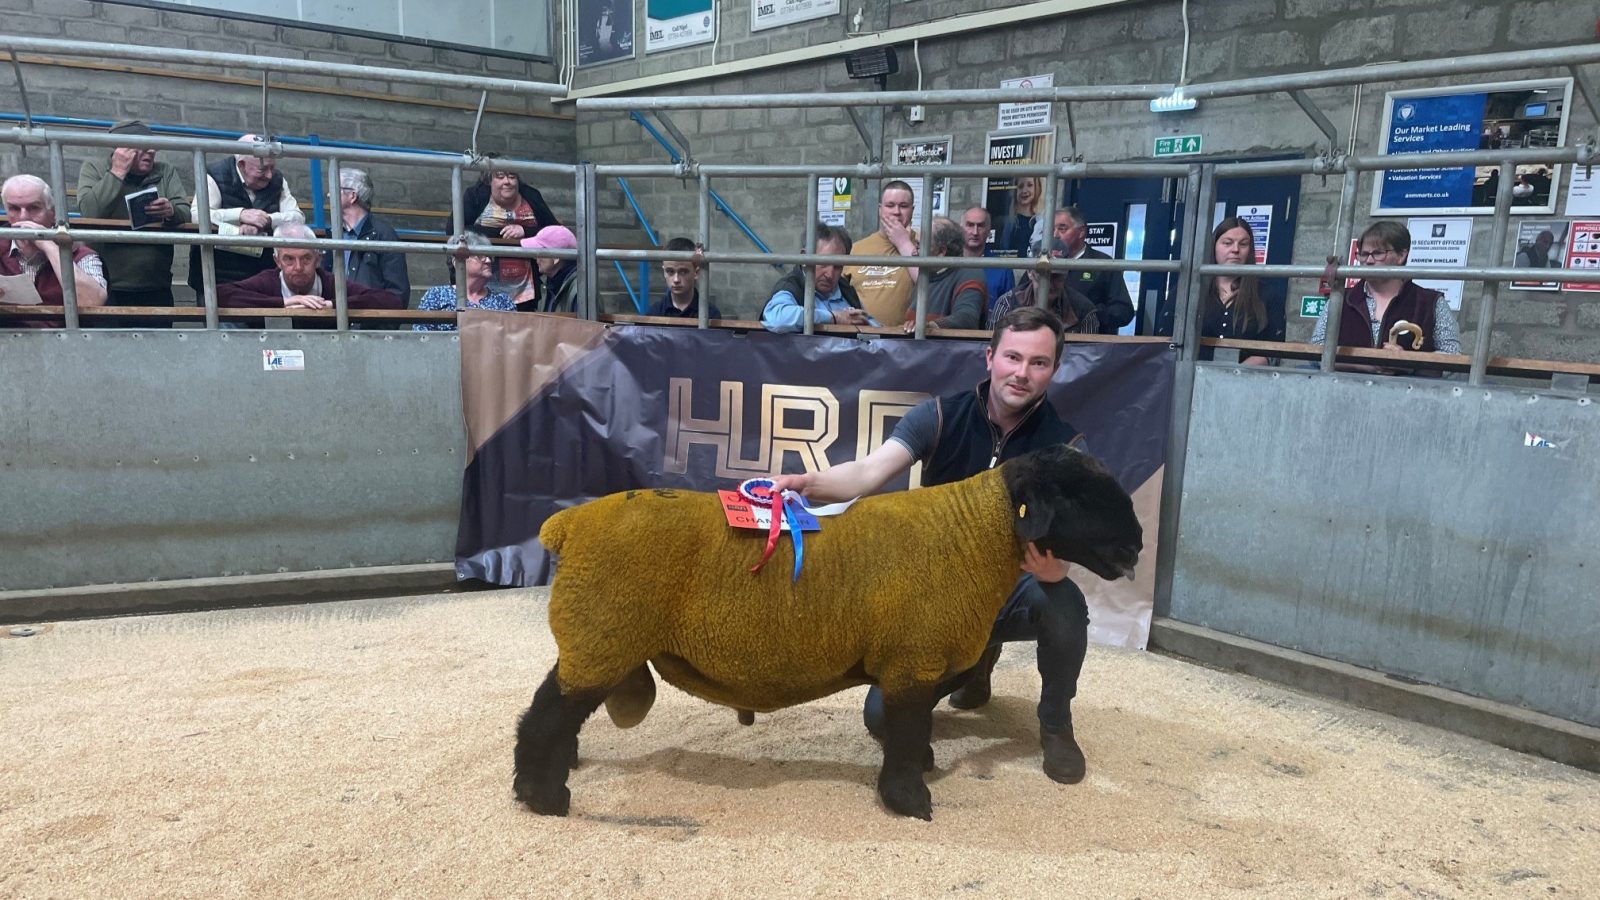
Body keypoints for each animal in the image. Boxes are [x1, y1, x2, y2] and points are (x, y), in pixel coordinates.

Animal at [512, 444, 1142, 820]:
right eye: (1077, 495)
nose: (1136, 545)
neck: (972, 536)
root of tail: (568, 523)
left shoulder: (916, 663)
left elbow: (912, 729)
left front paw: (922, 767)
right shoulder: (911, 663)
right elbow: (905, 733)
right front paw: (910, 799)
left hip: (599, 639)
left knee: (554, 706)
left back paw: (556, 772)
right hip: (604, 633)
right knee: (546, 714)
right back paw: (544, 797)